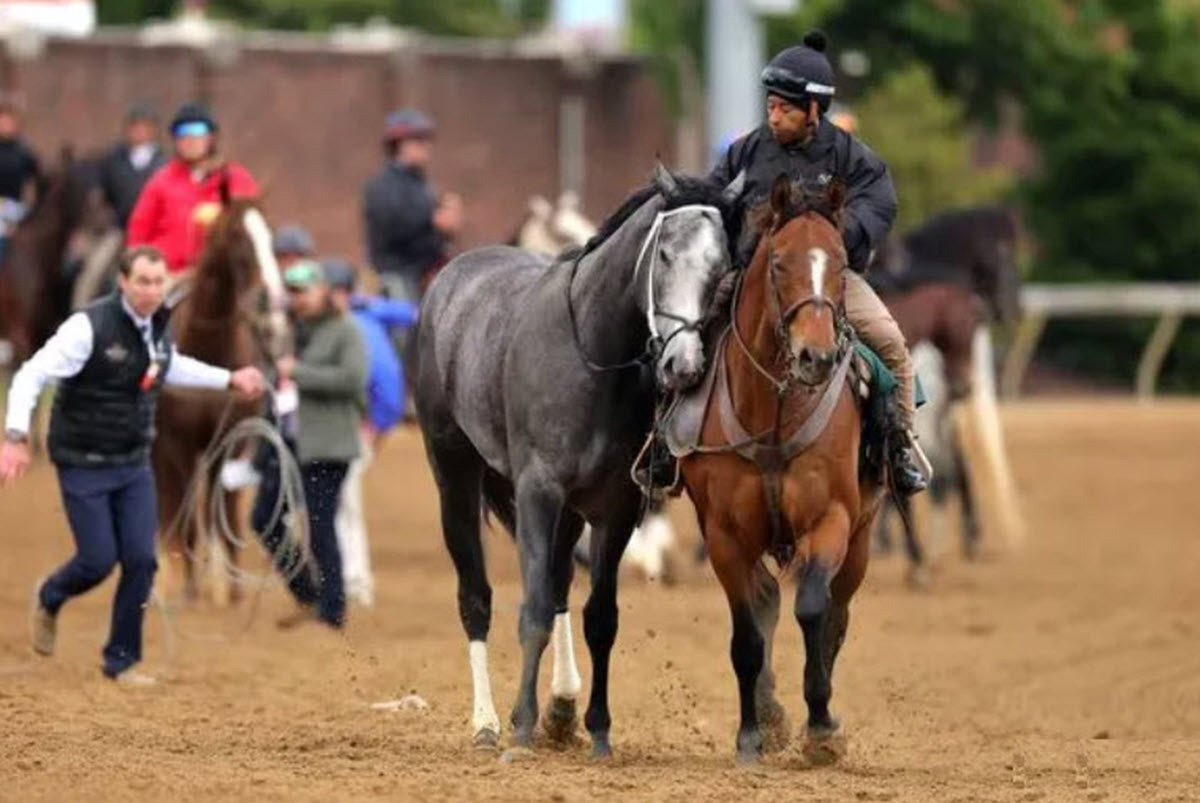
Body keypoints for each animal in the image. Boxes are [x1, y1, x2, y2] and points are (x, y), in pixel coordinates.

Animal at [151, 193, 286, 604]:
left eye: (271, 234)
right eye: (239, 237)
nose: (269, 299)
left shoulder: (230, 440)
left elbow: (223, 513)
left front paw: (231, 589)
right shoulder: (175, 444)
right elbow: (185, 518)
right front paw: (189, 590)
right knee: (169, 507)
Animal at [416, 163, 745, 757]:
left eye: (721, 263)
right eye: (665, 253)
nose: (682, 365)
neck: (591, 353)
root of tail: (453, 276)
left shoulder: (617, 506)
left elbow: (599, 617)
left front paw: (596, 728)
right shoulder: (537, 492)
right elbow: (532, 611)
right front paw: (522, 727)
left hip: (569, 511)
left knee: (561, 583)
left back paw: (563, 706)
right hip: (454, 476)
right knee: (476, 595)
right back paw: (486, 723)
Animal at [678, 176, 884, 765]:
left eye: (841, 261)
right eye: (777, 263)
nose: (816, 356)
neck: (771, 416)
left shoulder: (830, 519)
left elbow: (813, 611)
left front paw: (821, 726)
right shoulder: (724, 536)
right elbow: (748, 634)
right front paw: (751, 735)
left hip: (861, 541)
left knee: (836, 615)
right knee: (767, 600)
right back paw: (768, 715)